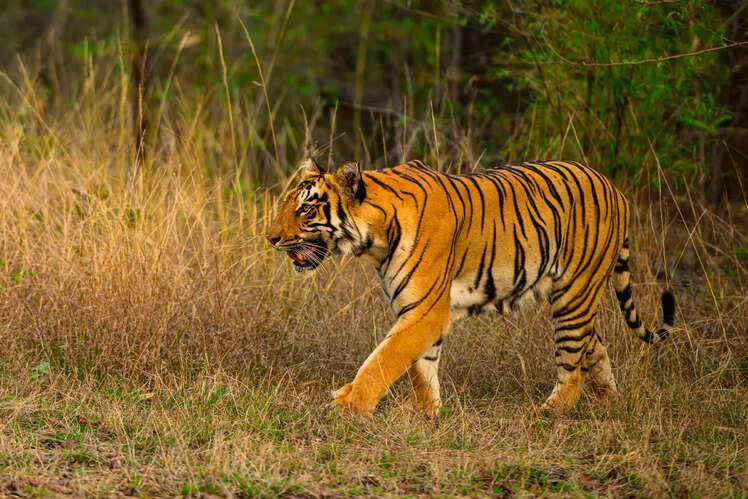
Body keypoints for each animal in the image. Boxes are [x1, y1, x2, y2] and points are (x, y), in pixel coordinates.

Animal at [266, 158, 675, 414]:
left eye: (305, 209)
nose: (270, 238)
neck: (375, 239)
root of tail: (615, 188)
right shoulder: (419, 309)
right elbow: (421, 365)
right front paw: (425, 412)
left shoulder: (425, 310)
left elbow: (384, 358)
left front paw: (349, 404)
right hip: (577, 299)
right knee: (597, 348)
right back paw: (610, 402)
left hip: (575, 293)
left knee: (573, 365)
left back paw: (551, 411)